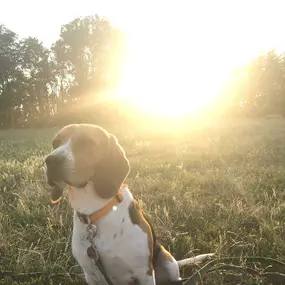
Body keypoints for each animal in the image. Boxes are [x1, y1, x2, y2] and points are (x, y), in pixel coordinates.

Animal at [45, 124, 182, 284]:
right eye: (55, 143)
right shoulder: (90, 274)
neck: (93, 211)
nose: (50, 160)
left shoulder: (145, 273)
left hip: (169, 262)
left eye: (86, 142)